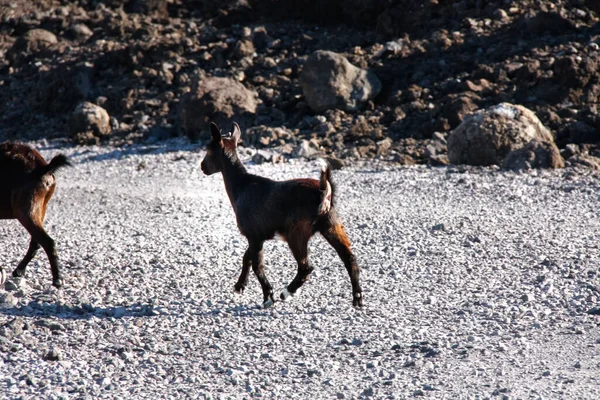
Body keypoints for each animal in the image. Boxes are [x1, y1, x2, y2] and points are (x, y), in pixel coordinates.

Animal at [0, 143, 70, 288]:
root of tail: (43, 168)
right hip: (41, 206)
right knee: (36, 243)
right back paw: (19, 270)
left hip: (26, 208)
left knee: (48, 242)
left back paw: (57, 280)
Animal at [202, 123, 364, 308]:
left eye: (208, 150)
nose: (202, 167)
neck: (242, 186)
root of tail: (325, 192)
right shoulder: (257, 235)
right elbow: (247, 258)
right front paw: (239, 286)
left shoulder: (254, 235)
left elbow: (257, 265)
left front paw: (267, 297)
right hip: (332, 225)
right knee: (349, 259)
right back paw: (357, 298)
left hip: (296, 233)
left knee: (306, 267)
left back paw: (286, 292)